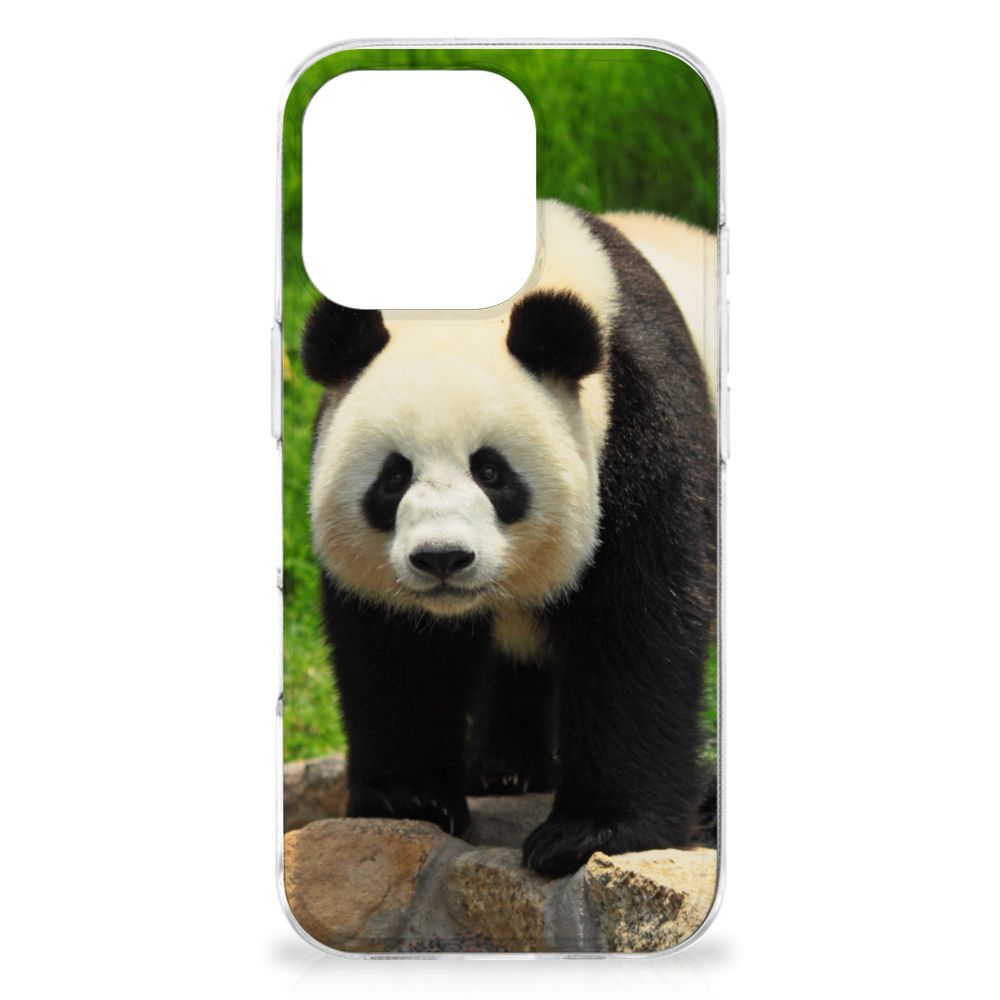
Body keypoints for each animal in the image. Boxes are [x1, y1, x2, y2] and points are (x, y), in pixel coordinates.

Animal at [301, 199, 717, 877]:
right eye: (394, 476)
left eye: (492, 472)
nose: (442, 559)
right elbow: (398, 649)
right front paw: (408, 798)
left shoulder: (641, 424)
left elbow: (638, 624)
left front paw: (591, 832)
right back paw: (504, 769)